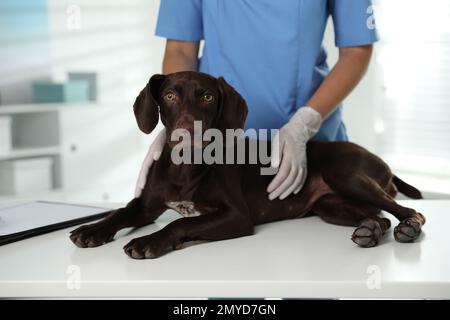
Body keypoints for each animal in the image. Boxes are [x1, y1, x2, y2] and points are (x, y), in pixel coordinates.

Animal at [69, 71, 426, 258]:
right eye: (169, 95)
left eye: (208, 96)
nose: (187, 132)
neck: (185, 167)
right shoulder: (145, 205)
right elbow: (119, 212)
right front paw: (92, 229)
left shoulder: (236, 216)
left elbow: (179, 223)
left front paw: (148, 241)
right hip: (330, 205)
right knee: (378, 217)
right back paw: (370, 231)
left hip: (346, 175)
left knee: (406, 210)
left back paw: (407, 228)